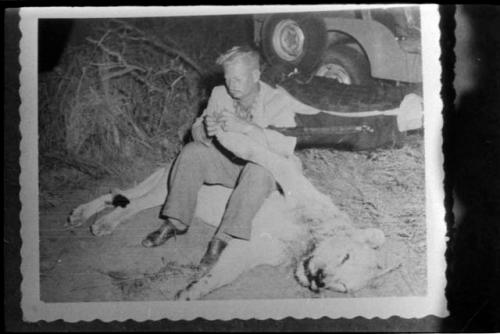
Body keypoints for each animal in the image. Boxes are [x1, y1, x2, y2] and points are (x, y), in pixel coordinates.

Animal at [68, 131, 392, 300]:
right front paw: (228, 133)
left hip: (160, 185)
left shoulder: (251, 251)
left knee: (123, 196)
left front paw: (190, 293)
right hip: (168, 186)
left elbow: (220, 277)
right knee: (132, 202)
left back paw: (84, 215)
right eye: (346, 257)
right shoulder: (292, 182)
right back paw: (99, 221)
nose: (321, 281)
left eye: (343, 287)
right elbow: (261, 153)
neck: (305, 242)